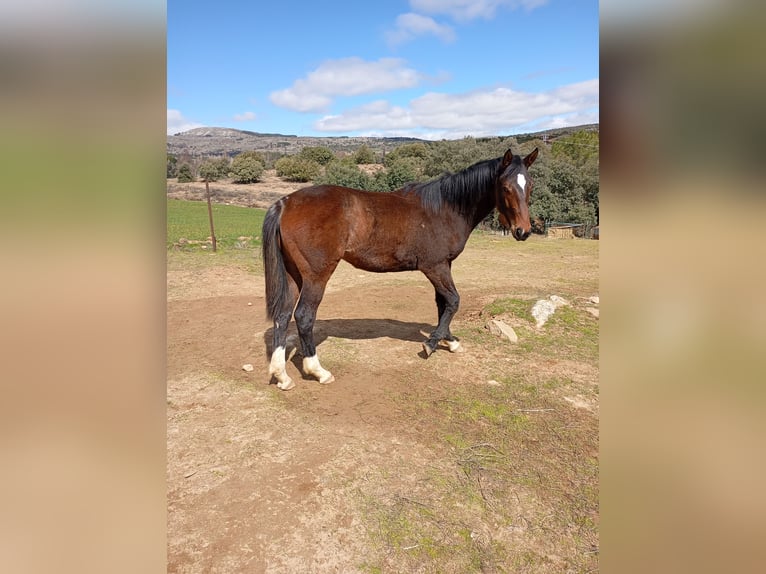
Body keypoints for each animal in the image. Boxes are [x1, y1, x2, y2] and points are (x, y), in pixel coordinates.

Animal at [262, 147, 538, 390]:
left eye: (530, 186)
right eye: (506, 187)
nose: (523, 231)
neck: (445, 208)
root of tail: (285, 203)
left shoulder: (443, 266)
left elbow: (443, 303)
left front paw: (447, 340)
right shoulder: (435, 267)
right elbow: (453, 301)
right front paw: (432, 343)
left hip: (294, 275)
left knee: (283, 315)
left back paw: (282, 375)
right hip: (316, 276)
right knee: (304, 316)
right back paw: (318, 371)